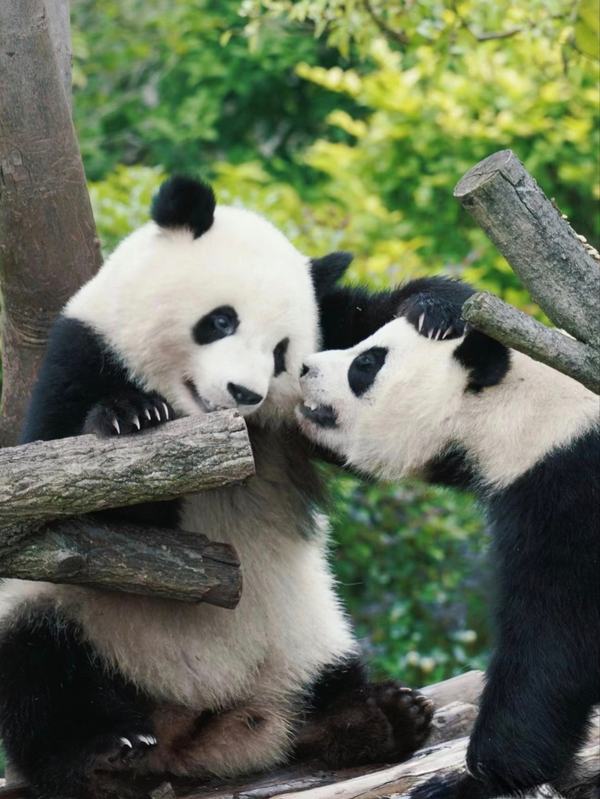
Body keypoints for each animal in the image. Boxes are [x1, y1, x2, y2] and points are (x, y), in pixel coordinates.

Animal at [0, 177, 434, 799]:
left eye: (281, 352)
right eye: (221, 321)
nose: (244, 392)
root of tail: (193, 738)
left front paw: (434, 309)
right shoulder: (79, 356)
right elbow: (87, 516)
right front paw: (131, 416)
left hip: (307, 635)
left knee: (327, 682)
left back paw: (376, 716)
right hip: (74, 622)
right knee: (39, 670)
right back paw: (104, 756)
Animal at [297, 276, 600, 799]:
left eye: (366, 364)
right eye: (365, 346)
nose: (303, 367)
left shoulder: (571, 488)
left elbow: (557, 632)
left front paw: (479, 777)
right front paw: (435, 306)